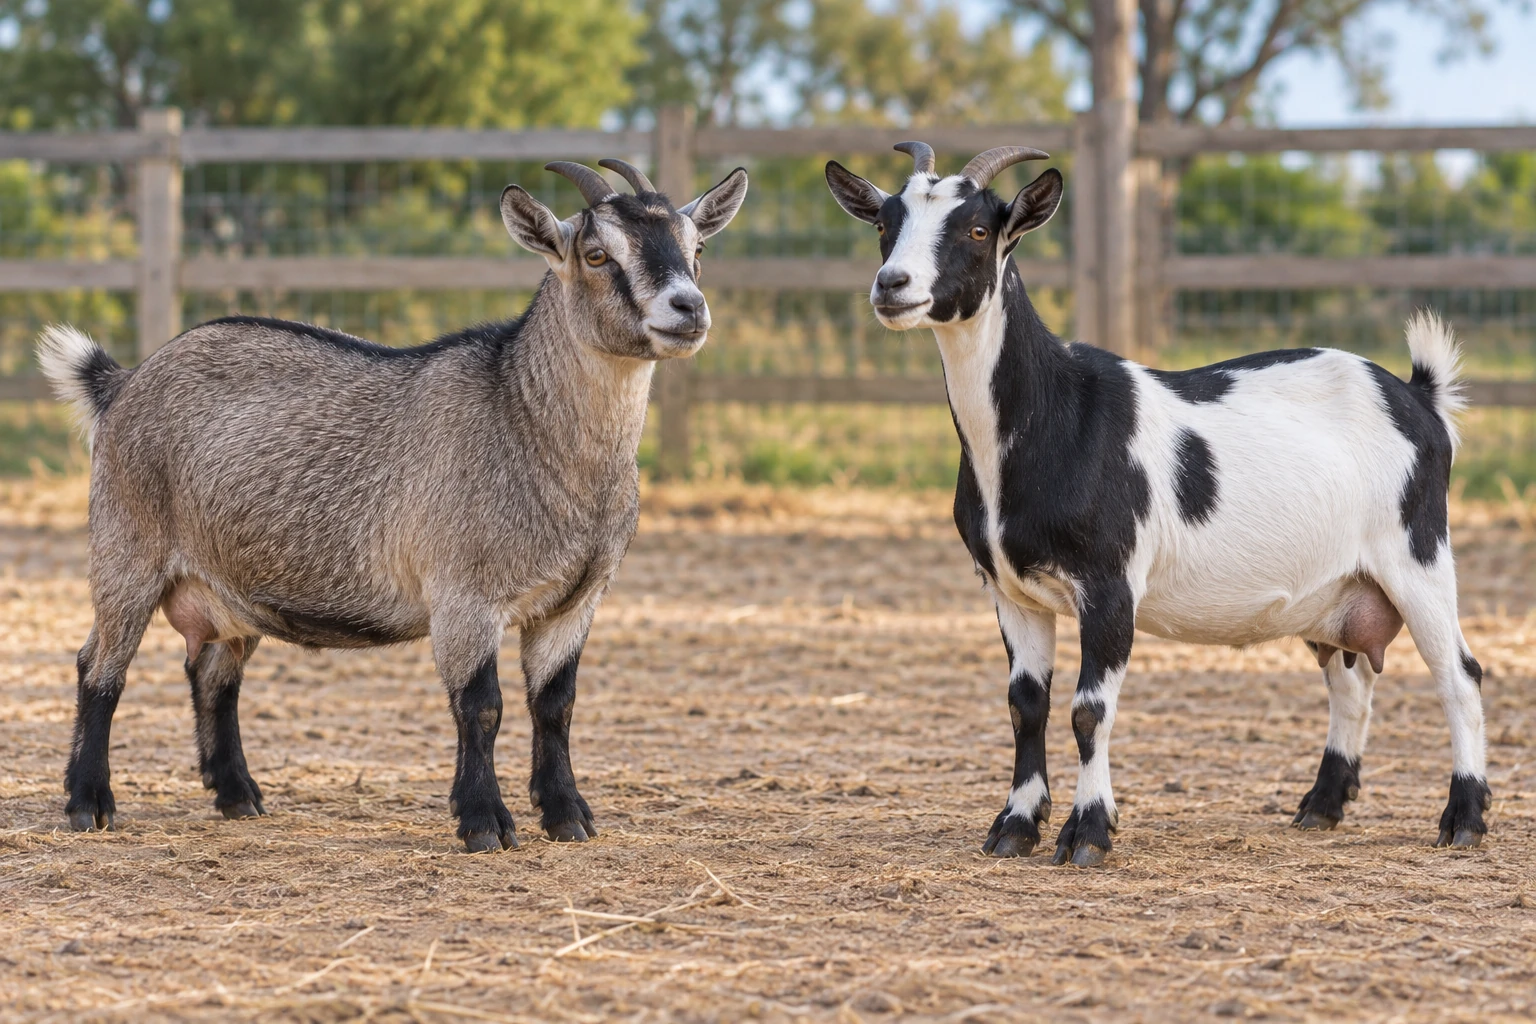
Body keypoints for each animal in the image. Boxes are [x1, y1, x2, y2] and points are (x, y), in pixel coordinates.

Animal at [39, 158, 748, 852]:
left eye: (697, 247)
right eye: (598, 254)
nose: (688, 307)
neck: (523, 418)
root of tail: (123, 383)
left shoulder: (576, 601)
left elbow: (556, 705)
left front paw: (567, 815)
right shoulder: (465, 593)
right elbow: (481, 705)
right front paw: (484, 822)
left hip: (229, 584)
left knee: (213, 671)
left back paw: (239, 796)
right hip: (127, 549)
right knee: (99, 667)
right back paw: (90, 803)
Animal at [825, 142, 1488, 866]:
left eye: (976, 229)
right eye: (884, 223)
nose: (892, 285)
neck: (1054, 414)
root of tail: (1418, 397)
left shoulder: (1111, 584)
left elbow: (1090, 709)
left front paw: (1088, 833)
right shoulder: (1010, 591)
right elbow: (1026, 704)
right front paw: (1015, 826)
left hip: (1417, 552)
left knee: (1459, 674)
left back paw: (1464, 819)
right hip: (1339, 587)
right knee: (1351, 682)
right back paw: (1321, 806)